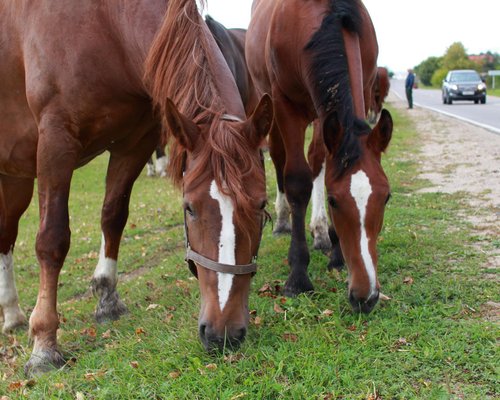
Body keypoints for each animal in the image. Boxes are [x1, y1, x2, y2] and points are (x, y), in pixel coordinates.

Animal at [0, 0, 272, 376]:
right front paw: (44, 344)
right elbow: (52, 240)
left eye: (261, 205)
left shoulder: (135, 142)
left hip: (17, 178)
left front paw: (106, 298)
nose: (223, 333)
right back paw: (12, 313)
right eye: (189, 207)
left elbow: (113, 216)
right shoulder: (56, 140)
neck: (104, 24)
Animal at [248, 0, 392, 312]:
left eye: (386, 197)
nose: (366, 296)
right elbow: (297, 180)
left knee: (316, 159)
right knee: (280, 158)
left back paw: (321, 232)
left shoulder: (361, 89)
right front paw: (298, 276)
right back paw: (283, 221)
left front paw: (336, 254)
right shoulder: (285, 104)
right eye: (334, 201)